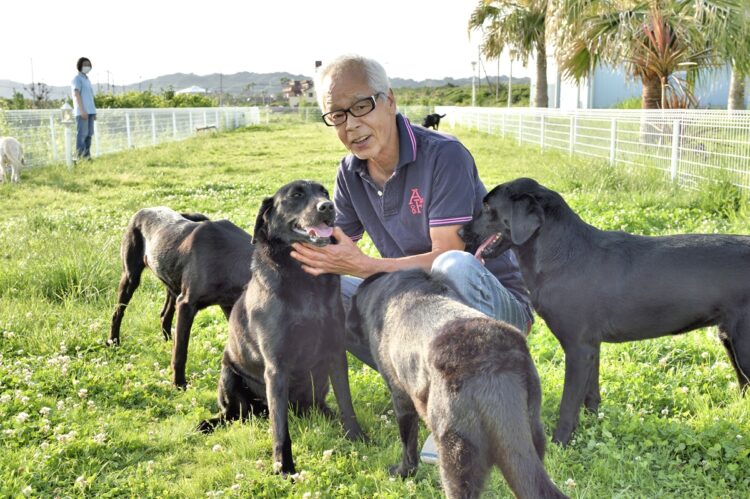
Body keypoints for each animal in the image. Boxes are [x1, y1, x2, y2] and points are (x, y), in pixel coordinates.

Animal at [109, 206, 256, 386]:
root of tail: (144, 210)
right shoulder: (186, 305)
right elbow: (180, 352)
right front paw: (179, 383)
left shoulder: (229, 306)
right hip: (131, 277)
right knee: (118, 313)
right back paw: (113, 341)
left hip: (171, 282)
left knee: (164, 315)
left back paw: (167, 342)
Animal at [198, 181, 366, 476]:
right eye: (296, 195)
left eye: (323, 192)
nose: (328, 206)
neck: (304, 280)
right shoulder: (276, 366)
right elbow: (280, 427)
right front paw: (284, 466)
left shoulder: (335, 353)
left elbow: (346, 402)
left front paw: (356, 436)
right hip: (229, 374)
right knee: (234, 415)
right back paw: (209, 423)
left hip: (317, 383)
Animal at [346, 270, 564, 499]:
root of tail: (491, 366)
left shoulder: (401, 397)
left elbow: (408, 444)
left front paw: (403, 473)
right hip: (533, 433)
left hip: (456, 456)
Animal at [462, 178, 750, 448]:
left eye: (487, 207)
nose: (461, 231)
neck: (562, 256)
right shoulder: (592, 346)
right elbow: (591, 393)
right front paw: (593, 422)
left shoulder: (578, 348)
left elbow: (569, 404)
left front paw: (559, 443)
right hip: (729, 339)